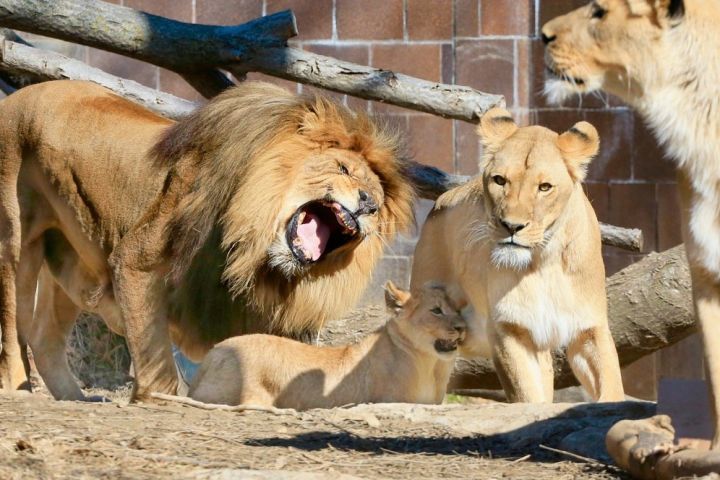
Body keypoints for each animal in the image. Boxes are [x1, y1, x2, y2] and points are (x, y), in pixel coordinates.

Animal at [0, 79, 416, 402]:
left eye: (379, 202)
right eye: (343, 168)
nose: (368, 204)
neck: (252, 250)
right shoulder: (136, 261)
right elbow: (154, 353)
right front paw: (160, 399)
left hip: (68, 259)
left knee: (43, 335)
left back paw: (75, 397)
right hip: (15, 244)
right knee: (13, 325)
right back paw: (20, 391)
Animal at [410, 108, 624, 402]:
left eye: (544, 187)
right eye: (500, 180)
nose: (511, 226)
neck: (544, 261)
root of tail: (441, 201)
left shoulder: (589, 326)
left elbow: (611, 387)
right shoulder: (509, 330)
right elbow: (528, 397)